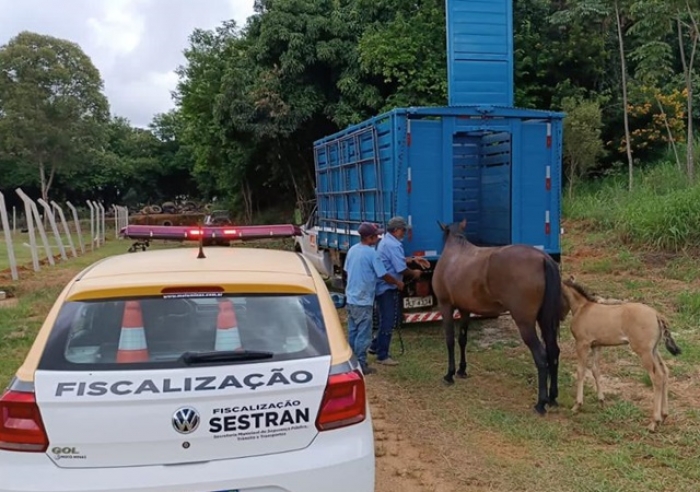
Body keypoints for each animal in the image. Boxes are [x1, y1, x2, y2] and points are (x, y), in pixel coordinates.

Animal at [432, 219, 564, 416]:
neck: (455, 251)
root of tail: (543, 259)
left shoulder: (446, 305)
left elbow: (449, 340)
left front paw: (450, 374)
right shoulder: (465, 309)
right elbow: (462, 339)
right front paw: (462, 370)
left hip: (525, 323)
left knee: (541, 356)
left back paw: (541, 403)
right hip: (546, 321)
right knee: (553, 351)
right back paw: (553, 397)